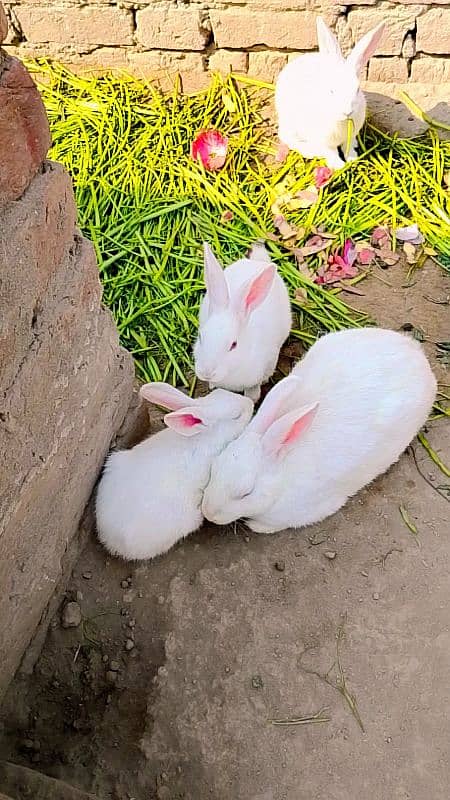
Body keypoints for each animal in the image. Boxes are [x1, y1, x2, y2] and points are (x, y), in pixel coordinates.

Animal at [193, 241, 292, 404]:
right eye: (200, 337)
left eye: (234, 345)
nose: (207, 373)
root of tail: (258, 262)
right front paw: (212, 385)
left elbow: (253, 389)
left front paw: (253, 398)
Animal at [276, 16, 384, 169]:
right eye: (331, 90)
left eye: (357, 89)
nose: (347, 112)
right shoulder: (324, 141)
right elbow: (331, 152)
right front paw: (338, 166)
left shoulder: (350, 137)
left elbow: (347, 148)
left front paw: (352, 159)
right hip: (290, 125)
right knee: (288, 138)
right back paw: (311, 152)